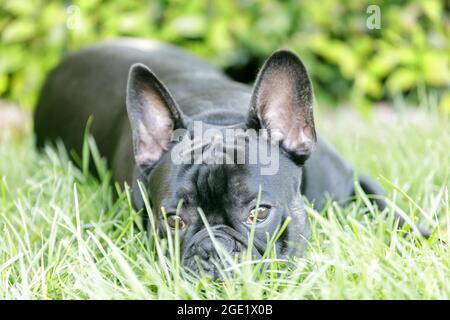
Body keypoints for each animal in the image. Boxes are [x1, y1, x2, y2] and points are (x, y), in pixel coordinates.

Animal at [34, 38, 414, 280]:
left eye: (259, 213)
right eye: (173, 222)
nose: (212, 250)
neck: (217, 115)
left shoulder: (354, 180)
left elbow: (394, 211)